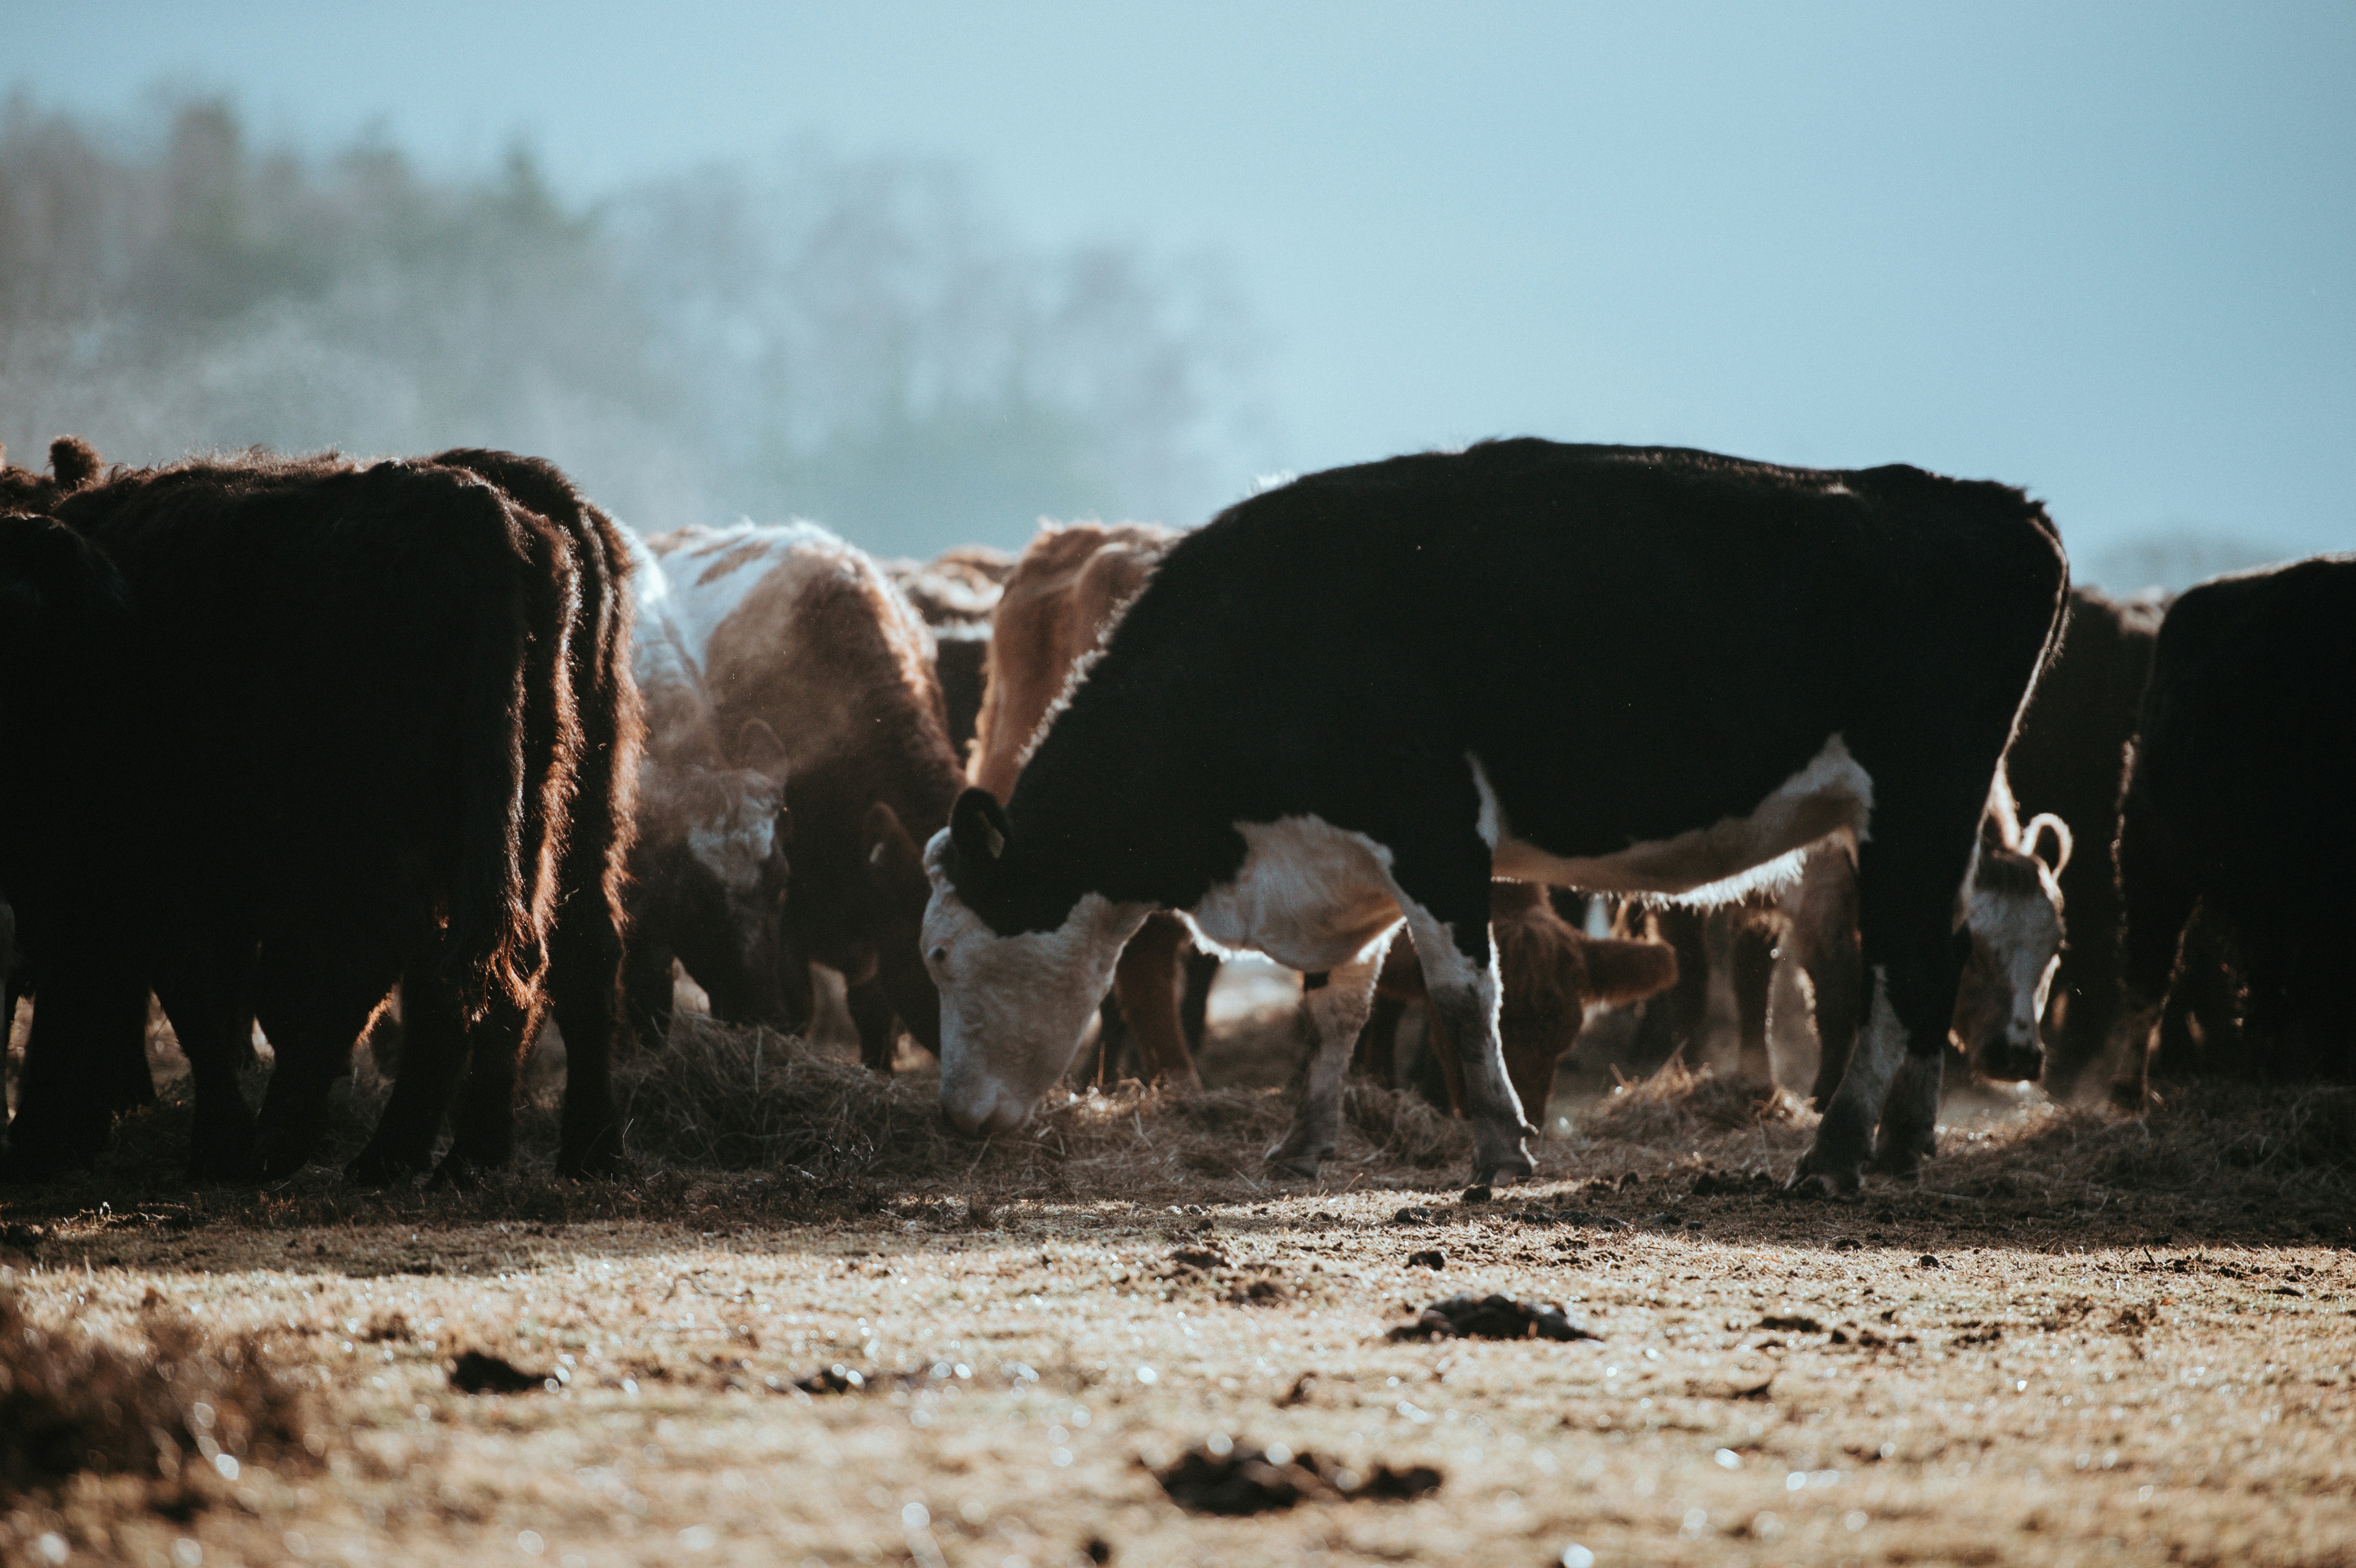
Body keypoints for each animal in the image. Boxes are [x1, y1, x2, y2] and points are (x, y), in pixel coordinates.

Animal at [1, 440, 638, 1184]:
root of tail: (476, 506)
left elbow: (161, 986)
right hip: (548, 815)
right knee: (550, 953)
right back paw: (523, 1152)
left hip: (372, 834)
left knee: (395, 951)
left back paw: (296, 1141)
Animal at [921, 440, 2066, 1191]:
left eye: (938, 952)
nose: (954, 1119)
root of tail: (1996, 504)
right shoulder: (1340, 863)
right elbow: (1334, 1010)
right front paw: (1301, 1145)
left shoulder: (1430, 830)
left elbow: (1465, 995)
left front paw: (1499, 1145)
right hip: (1934, 825)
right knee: (1940, 951)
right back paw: (1903, 1138)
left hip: (1915, 803)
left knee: (1901, 964)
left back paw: (1833, 1152)